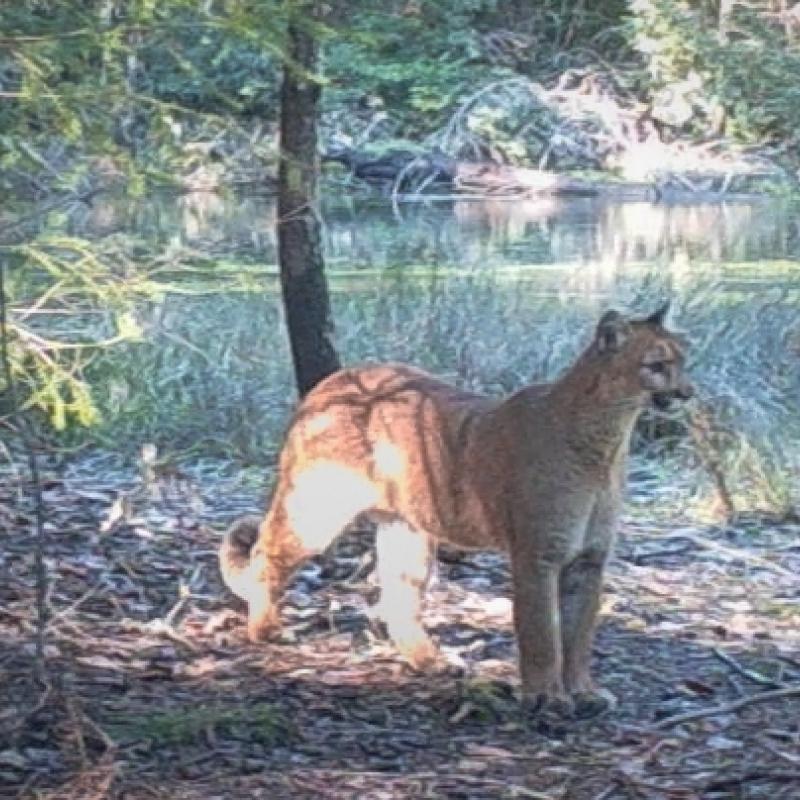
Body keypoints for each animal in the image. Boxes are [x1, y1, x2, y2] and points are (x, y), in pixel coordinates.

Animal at [220, 304, 692, 717]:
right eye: (656, 365)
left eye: (685, 360)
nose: (688, 393)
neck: (607, 442)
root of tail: (334, 378)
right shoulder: (538, 556)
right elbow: (542, 633)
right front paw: (546, 699)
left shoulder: (590, 560)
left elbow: (578, 637)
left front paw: (584, 693)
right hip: (317, 507)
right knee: (265, 552)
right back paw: (266, 629)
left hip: (408, 529)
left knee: (397, 598)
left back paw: (431, 661)